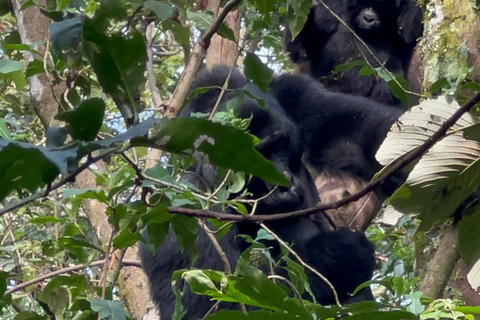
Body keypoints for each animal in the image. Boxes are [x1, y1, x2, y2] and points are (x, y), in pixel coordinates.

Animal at [138, 66, 376, 318]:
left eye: (280, 146)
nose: (285, 184)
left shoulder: (293, 91)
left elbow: (359, 132)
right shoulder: (181, 212)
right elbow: (222, 306)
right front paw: (338, 258)